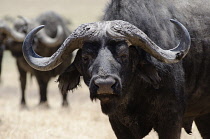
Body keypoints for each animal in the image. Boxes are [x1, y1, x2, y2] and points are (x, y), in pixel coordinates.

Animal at [22, 0, 210, 138]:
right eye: (85, 57)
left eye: (123, 55)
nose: (105, 85)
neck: (135, 94)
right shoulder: (118, 124)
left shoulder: (170, 120)